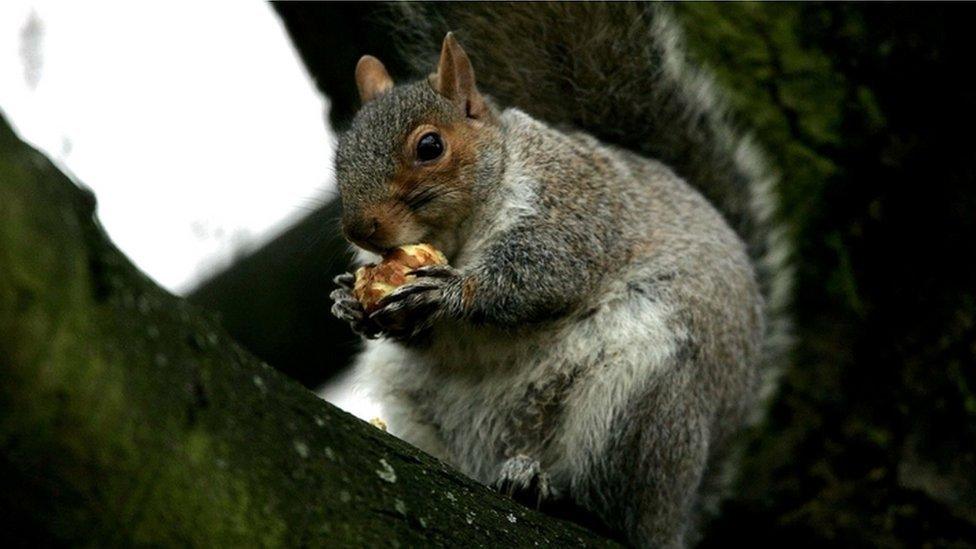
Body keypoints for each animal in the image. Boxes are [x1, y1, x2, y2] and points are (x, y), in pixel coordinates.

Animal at [328, 3, 792, 544]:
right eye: (340, 156)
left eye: (429, 146)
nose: (360, 229)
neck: (458, 233)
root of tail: (677, 518)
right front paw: (347, 301)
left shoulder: (574, 205)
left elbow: (542, 274)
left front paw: (449, 292)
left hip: (642, 408)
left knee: (613, 507)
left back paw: (548, 489)